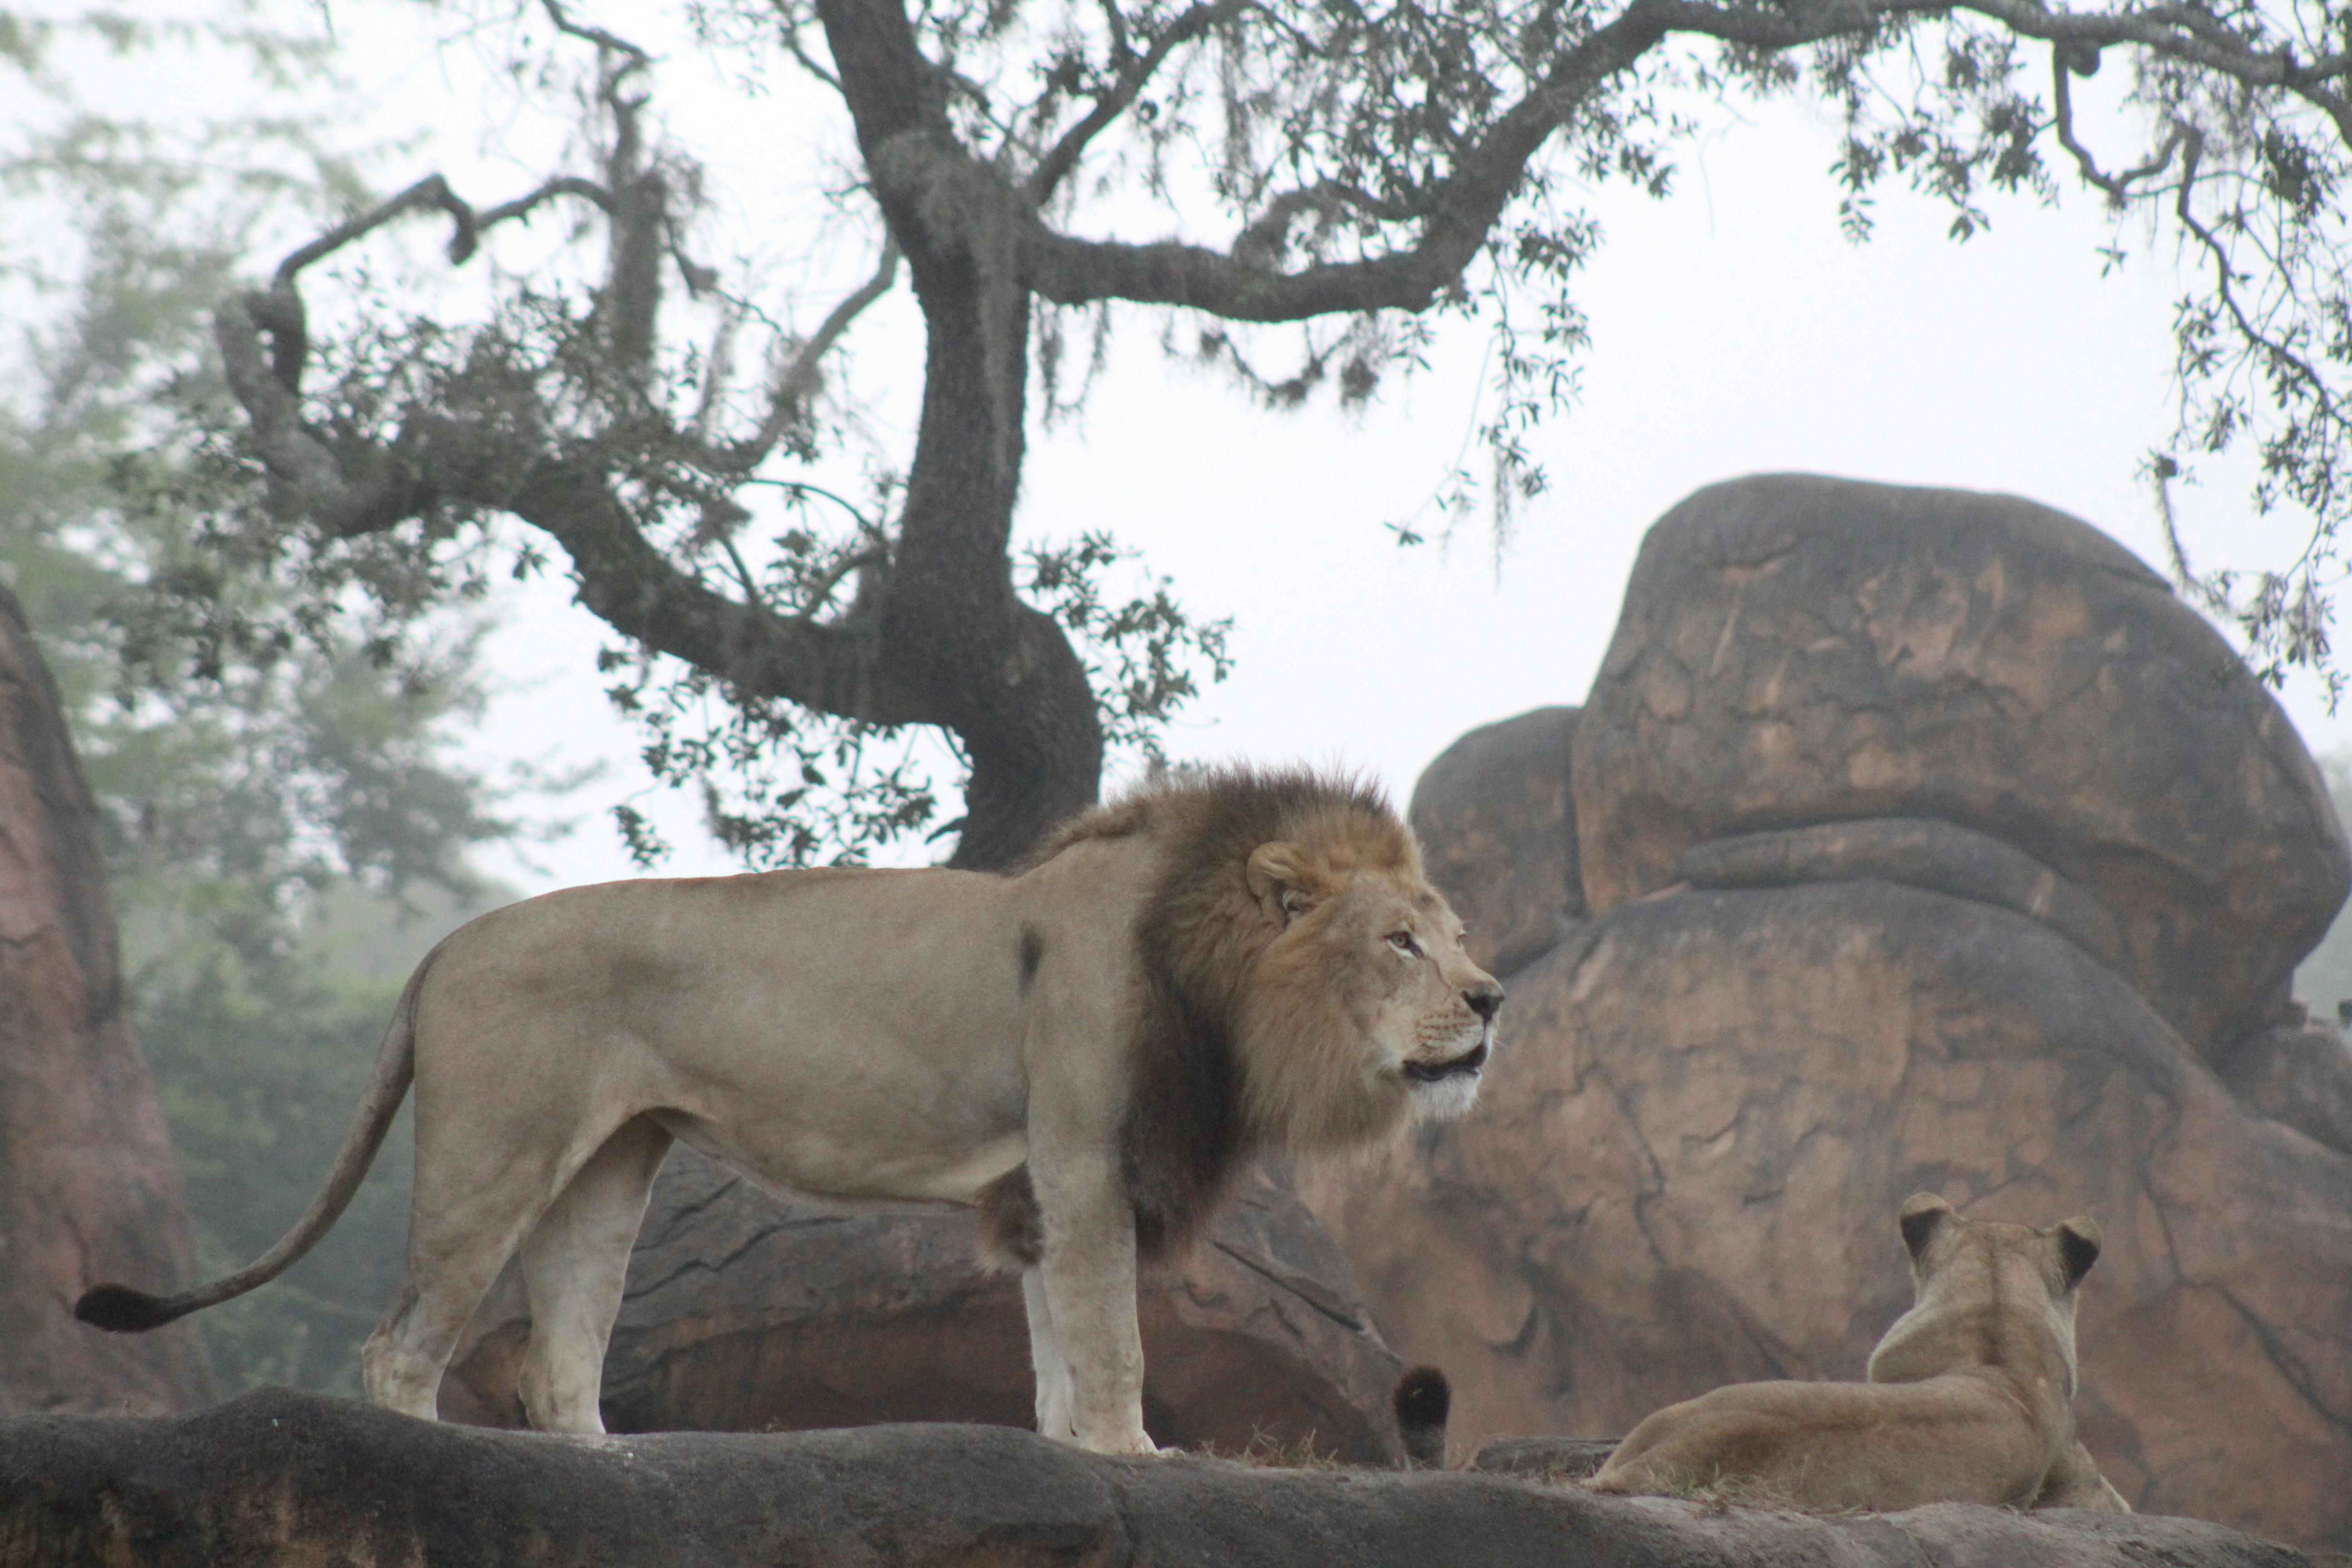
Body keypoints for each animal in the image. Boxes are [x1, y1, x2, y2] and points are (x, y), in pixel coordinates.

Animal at [77, 766, 1502, 1455]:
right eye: (1399, 943)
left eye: (1453, 935)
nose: (1494, 997)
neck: (1204, 971)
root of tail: (443, 944)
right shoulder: (1085, 1158)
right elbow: (1111, 1336)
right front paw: (1135, 1455)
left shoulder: (1047, 1181)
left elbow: (1053, 1333)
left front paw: (1071, 1450)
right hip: (496, 1149)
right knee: (402, 1345)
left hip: (612, 1163)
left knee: (557, 1350)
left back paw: (604, 1464)